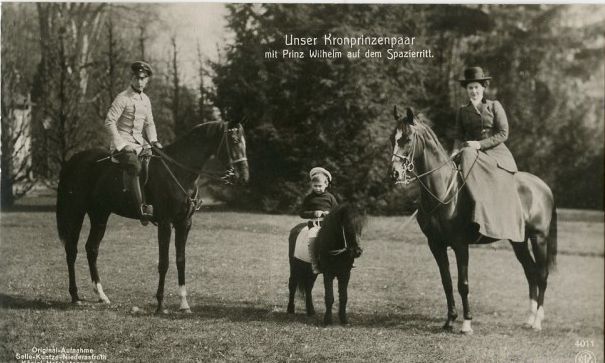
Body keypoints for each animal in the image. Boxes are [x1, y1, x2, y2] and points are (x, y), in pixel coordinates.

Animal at [54, 121, 248, 314]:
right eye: (234, 141)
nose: (244, 178)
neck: (179, 171)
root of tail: (73, 161)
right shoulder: (165, 224)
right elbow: (164, 263)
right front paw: (160, 305)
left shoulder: (184, 223)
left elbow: (181, 261)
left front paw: (184, 304)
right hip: (76, 212)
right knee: (71, 250)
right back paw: (75, 296)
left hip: (100, 214)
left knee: (92, 249)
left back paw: (102, 295)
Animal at [390, 107, 556, 332]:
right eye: (392, 138)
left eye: (407, 139)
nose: (395, 173)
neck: (445, 190)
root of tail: (543, 186)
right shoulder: (436, 245)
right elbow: (447, 282)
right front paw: (450, 320)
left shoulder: (461, 245)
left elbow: (463, 284)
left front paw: (467, 323)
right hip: (519, 241)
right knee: (530, 272)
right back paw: (529, 319)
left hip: (539, 238)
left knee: (541, 275)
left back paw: (538, 320)